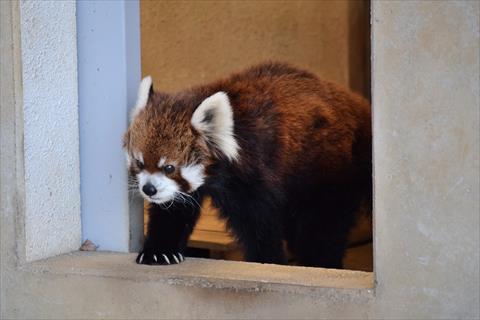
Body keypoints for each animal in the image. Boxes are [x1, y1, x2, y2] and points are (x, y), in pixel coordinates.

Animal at [124, 62, 372, 268]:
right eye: (139, 162)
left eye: (169, 168)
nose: (149, 189)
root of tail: (357, 105)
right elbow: (174, 210)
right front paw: (159, 251)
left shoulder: (255, 173)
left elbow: (259, 225)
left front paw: (267, 262)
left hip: (330, 172)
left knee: (322, 228)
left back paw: (321, 264)